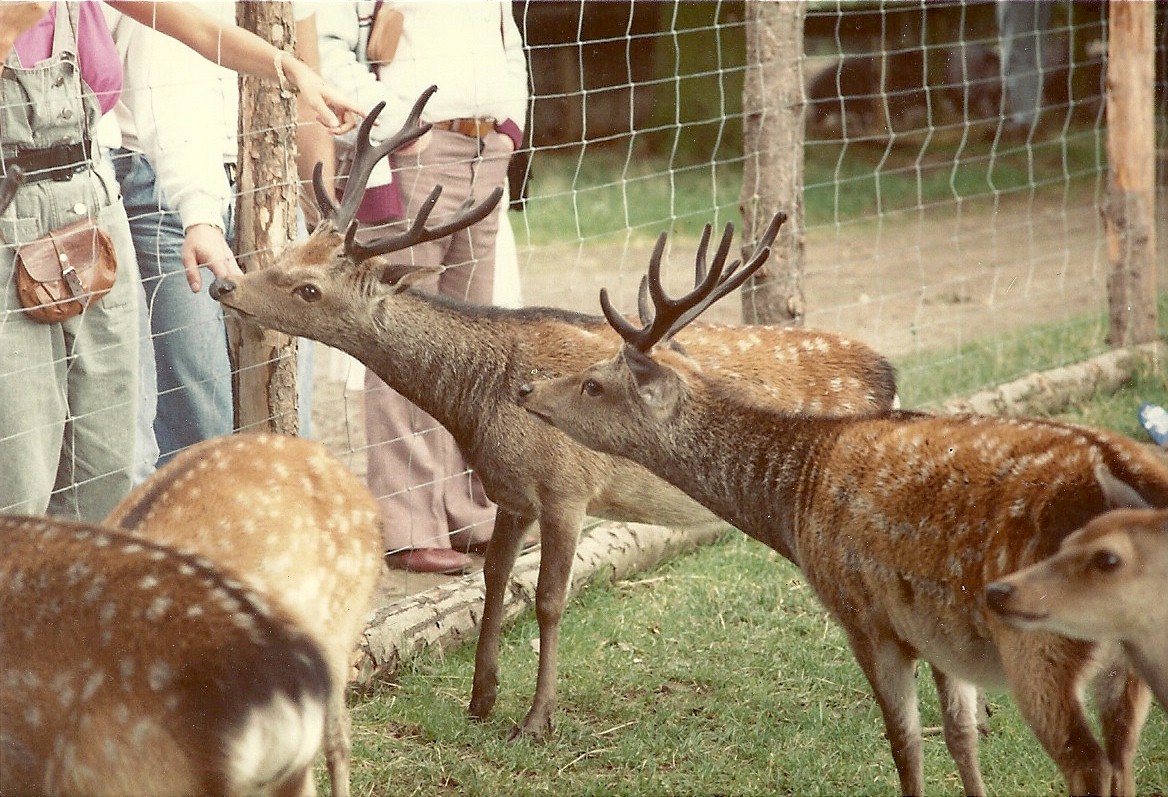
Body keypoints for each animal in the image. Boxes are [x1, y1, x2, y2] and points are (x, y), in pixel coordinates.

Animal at [208, 86, 899, 741]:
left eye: (309, 290)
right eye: (290, 252)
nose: (223, 284)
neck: (478, 401)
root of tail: (888, 375)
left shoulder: (567, 487)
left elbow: (547, 600)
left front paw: (537, 720)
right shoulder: (510, 493)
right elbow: (492, 582)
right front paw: (480, 701)